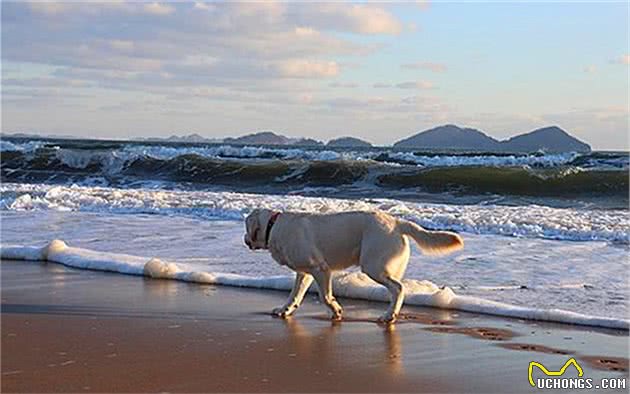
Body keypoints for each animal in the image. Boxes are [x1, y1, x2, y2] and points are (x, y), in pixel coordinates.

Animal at [246, 209, 464, 324]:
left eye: (247, 228)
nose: (245, 239)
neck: (273, 226)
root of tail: (396, 222)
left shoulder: (320, 269)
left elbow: (325, 297)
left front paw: (336, 310)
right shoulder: (305, 273)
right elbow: (294, 295)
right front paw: (285, 310)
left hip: (373, 266)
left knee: (398, 288)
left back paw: (389, 315)